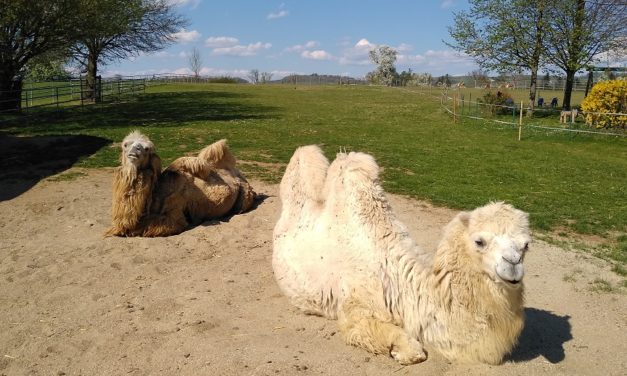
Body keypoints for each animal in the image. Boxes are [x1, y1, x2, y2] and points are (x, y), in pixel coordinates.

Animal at [272, 145, 532, 364]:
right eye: (480, 241)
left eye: (526, 245)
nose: (513, 264)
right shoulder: (354, 305)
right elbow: (404, 346)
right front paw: (401, 351)